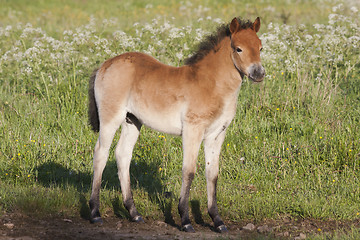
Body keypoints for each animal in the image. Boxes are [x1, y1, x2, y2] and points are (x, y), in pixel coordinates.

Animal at [89, 16, 266, 232]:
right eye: (239, 49)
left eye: (260, 47)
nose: (258, 73)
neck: (212, 85)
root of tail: (104, 65)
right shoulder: (193, 129)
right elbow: (188, 171)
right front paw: (185, 220)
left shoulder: (217, 134)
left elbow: (212, 174)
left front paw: (218, 221)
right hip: (110, 118)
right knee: (101, 153)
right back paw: (95, 213)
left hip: (132, 121)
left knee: (123, 155)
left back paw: (134, 213)